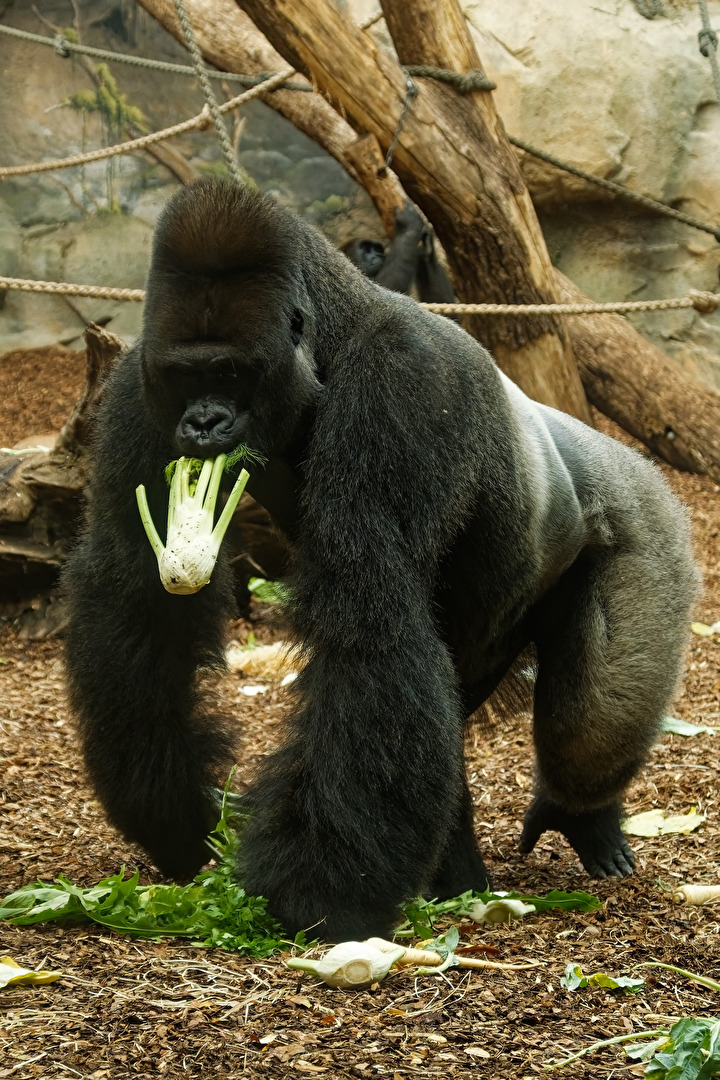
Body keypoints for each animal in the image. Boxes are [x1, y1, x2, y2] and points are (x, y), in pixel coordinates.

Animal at [64, 179, 698, 943]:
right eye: (185, 376)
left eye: (231, 372)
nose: (203, 422)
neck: (331, 334)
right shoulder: (137, 389)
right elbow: (135, 592)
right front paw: (175, 815)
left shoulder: (404, 383)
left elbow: (370, 613)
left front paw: (321, 891)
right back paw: (467, 871)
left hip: (646, 517)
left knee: (597, 713)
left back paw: (583, 815)